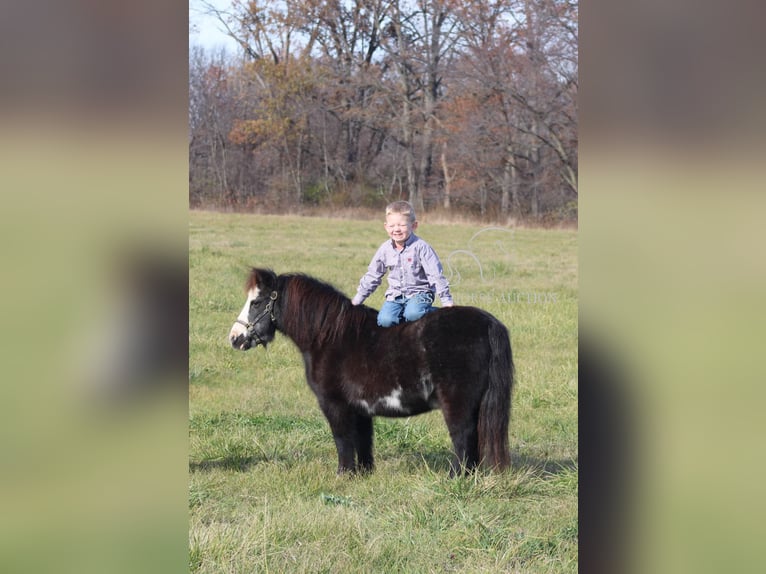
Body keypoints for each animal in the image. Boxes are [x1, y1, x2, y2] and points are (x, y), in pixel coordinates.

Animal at [230, 270, 516, 476]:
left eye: (256, 302)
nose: (235, 338)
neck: (330, 337)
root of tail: (488, 323)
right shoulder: (360, 408)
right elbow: (364, 440)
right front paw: (364, 473)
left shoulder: (334, 405)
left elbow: (343, 440)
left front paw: (344, 475)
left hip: (457, 403)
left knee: (463, 437)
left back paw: (456, 477)